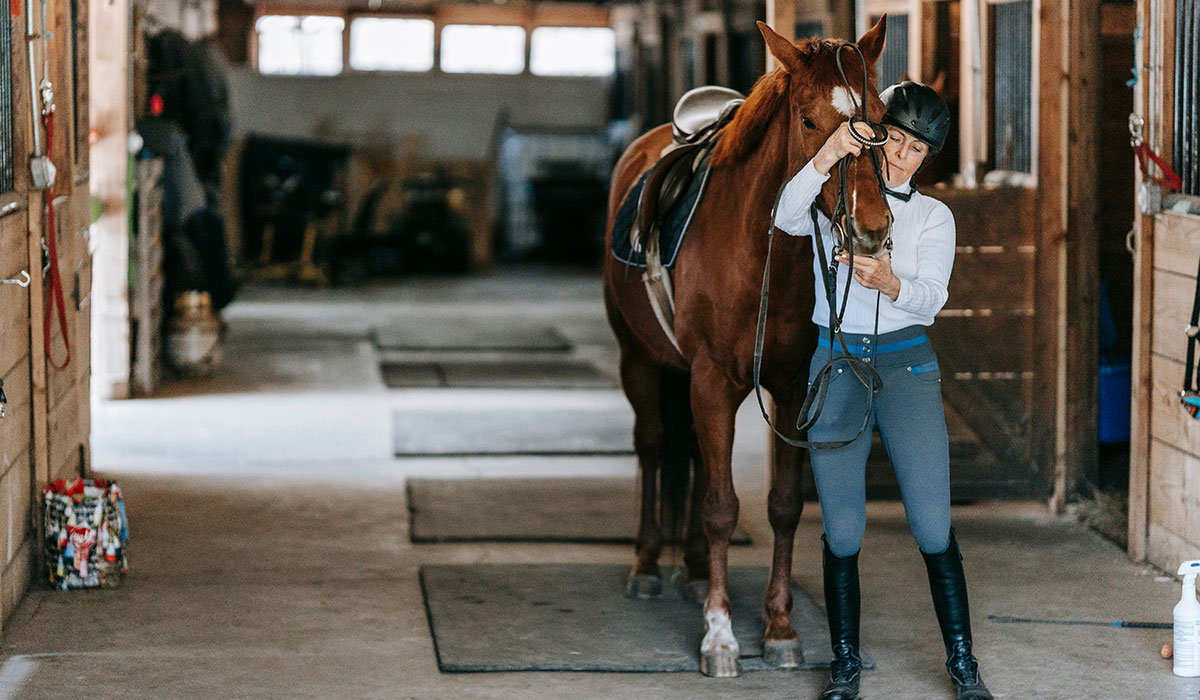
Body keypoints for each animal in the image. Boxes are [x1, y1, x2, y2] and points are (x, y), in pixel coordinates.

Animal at [604, 19, 897, 677]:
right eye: (810, 121)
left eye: (881, 118)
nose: (870, 228)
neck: (763, 252)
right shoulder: (712, 380)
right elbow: (722, 506)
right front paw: (720, 636)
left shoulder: (791, 388)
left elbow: (782, 505)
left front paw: (781, 628)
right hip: (641, 362)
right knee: (653, 445)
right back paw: (645, 566)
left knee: (688, 450)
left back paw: (690, 569)